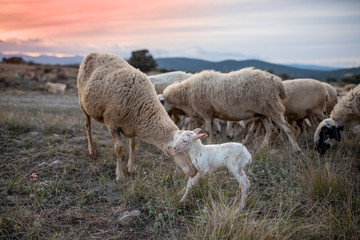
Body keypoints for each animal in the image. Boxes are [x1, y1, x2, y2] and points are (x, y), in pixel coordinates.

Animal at [77, 52, 198, 180]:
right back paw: (92, 150)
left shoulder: (132, 124)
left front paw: (131, 168)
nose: (195, 171)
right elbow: (118, 148)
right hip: (83, 105)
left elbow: (132, 145)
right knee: (88, 127)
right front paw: (120, 175)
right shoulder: (112, 124)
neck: (142, 105)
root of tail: (94, 53)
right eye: (179, 149)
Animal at [162, 67, 300, 152]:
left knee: (287, 128)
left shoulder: (206, 113)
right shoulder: (208, 115)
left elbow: (208, 131)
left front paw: (210, 143)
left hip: (272, 107)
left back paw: (296, 150)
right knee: (270, 129)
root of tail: (277, 81)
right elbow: (210, 130)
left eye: (162, 102)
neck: (187, 93)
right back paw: (262, 148)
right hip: (263, 112)